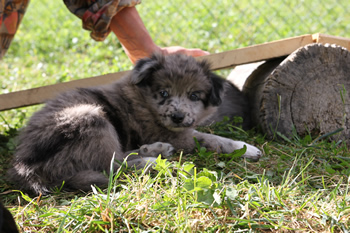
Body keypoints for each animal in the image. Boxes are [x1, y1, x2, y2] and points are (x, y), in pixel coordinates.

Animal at [7, 53, 260, 195]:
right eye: (163, 92)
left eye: (194, 96)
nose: (177, 117)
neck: (146, 100)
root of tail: (26, 166)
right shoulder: (178, 135)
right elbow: (211, 139)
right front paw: (245, 148)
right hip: (92, 118)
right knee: (114, 165)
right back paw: (152, 161)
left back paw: (155, 150)